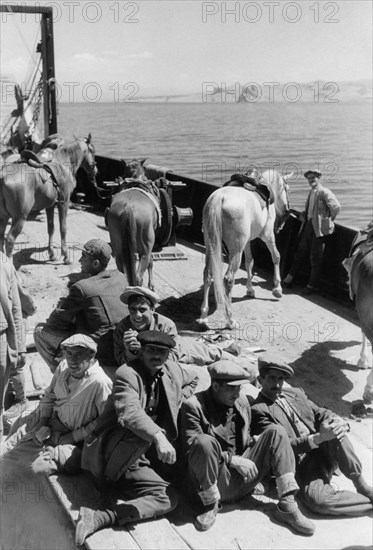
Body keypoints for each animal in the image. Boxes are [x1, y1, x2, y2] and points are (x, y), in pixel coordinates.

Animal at [0, 134, 96, 264]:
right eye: (93, 151)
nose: (95, 170)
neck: (64, 162)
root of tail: (2, 176)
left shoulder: (50, 205)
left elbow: (51, 228)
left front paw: (51, 253)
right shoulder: (63, 203)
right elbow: (63, 228)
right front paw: (65, 255)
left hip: (4, 216)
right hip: (19, 218)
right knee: (10, 240)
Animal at [107, 161, 160, 294]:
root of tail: (129, 207)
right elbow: (151, 262)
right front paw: (151, 286)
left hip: (118, 248)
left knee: (123, 271)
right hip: (145, 248)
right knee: (138, 276)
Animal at [198, 170, 290, 330]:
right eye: (286, 188)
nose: (287, 210)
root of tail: (218, 200)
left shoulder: (247, 241)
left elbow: (249, 262)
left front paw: (250, 289)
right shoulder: (267, 235)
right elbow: (276, 256)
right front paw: (277, 289)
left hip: (211, 246)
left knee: (207, 274)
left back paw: (204, 316)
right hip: (236, 250)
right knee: (228, 279)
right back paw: (230, 320)